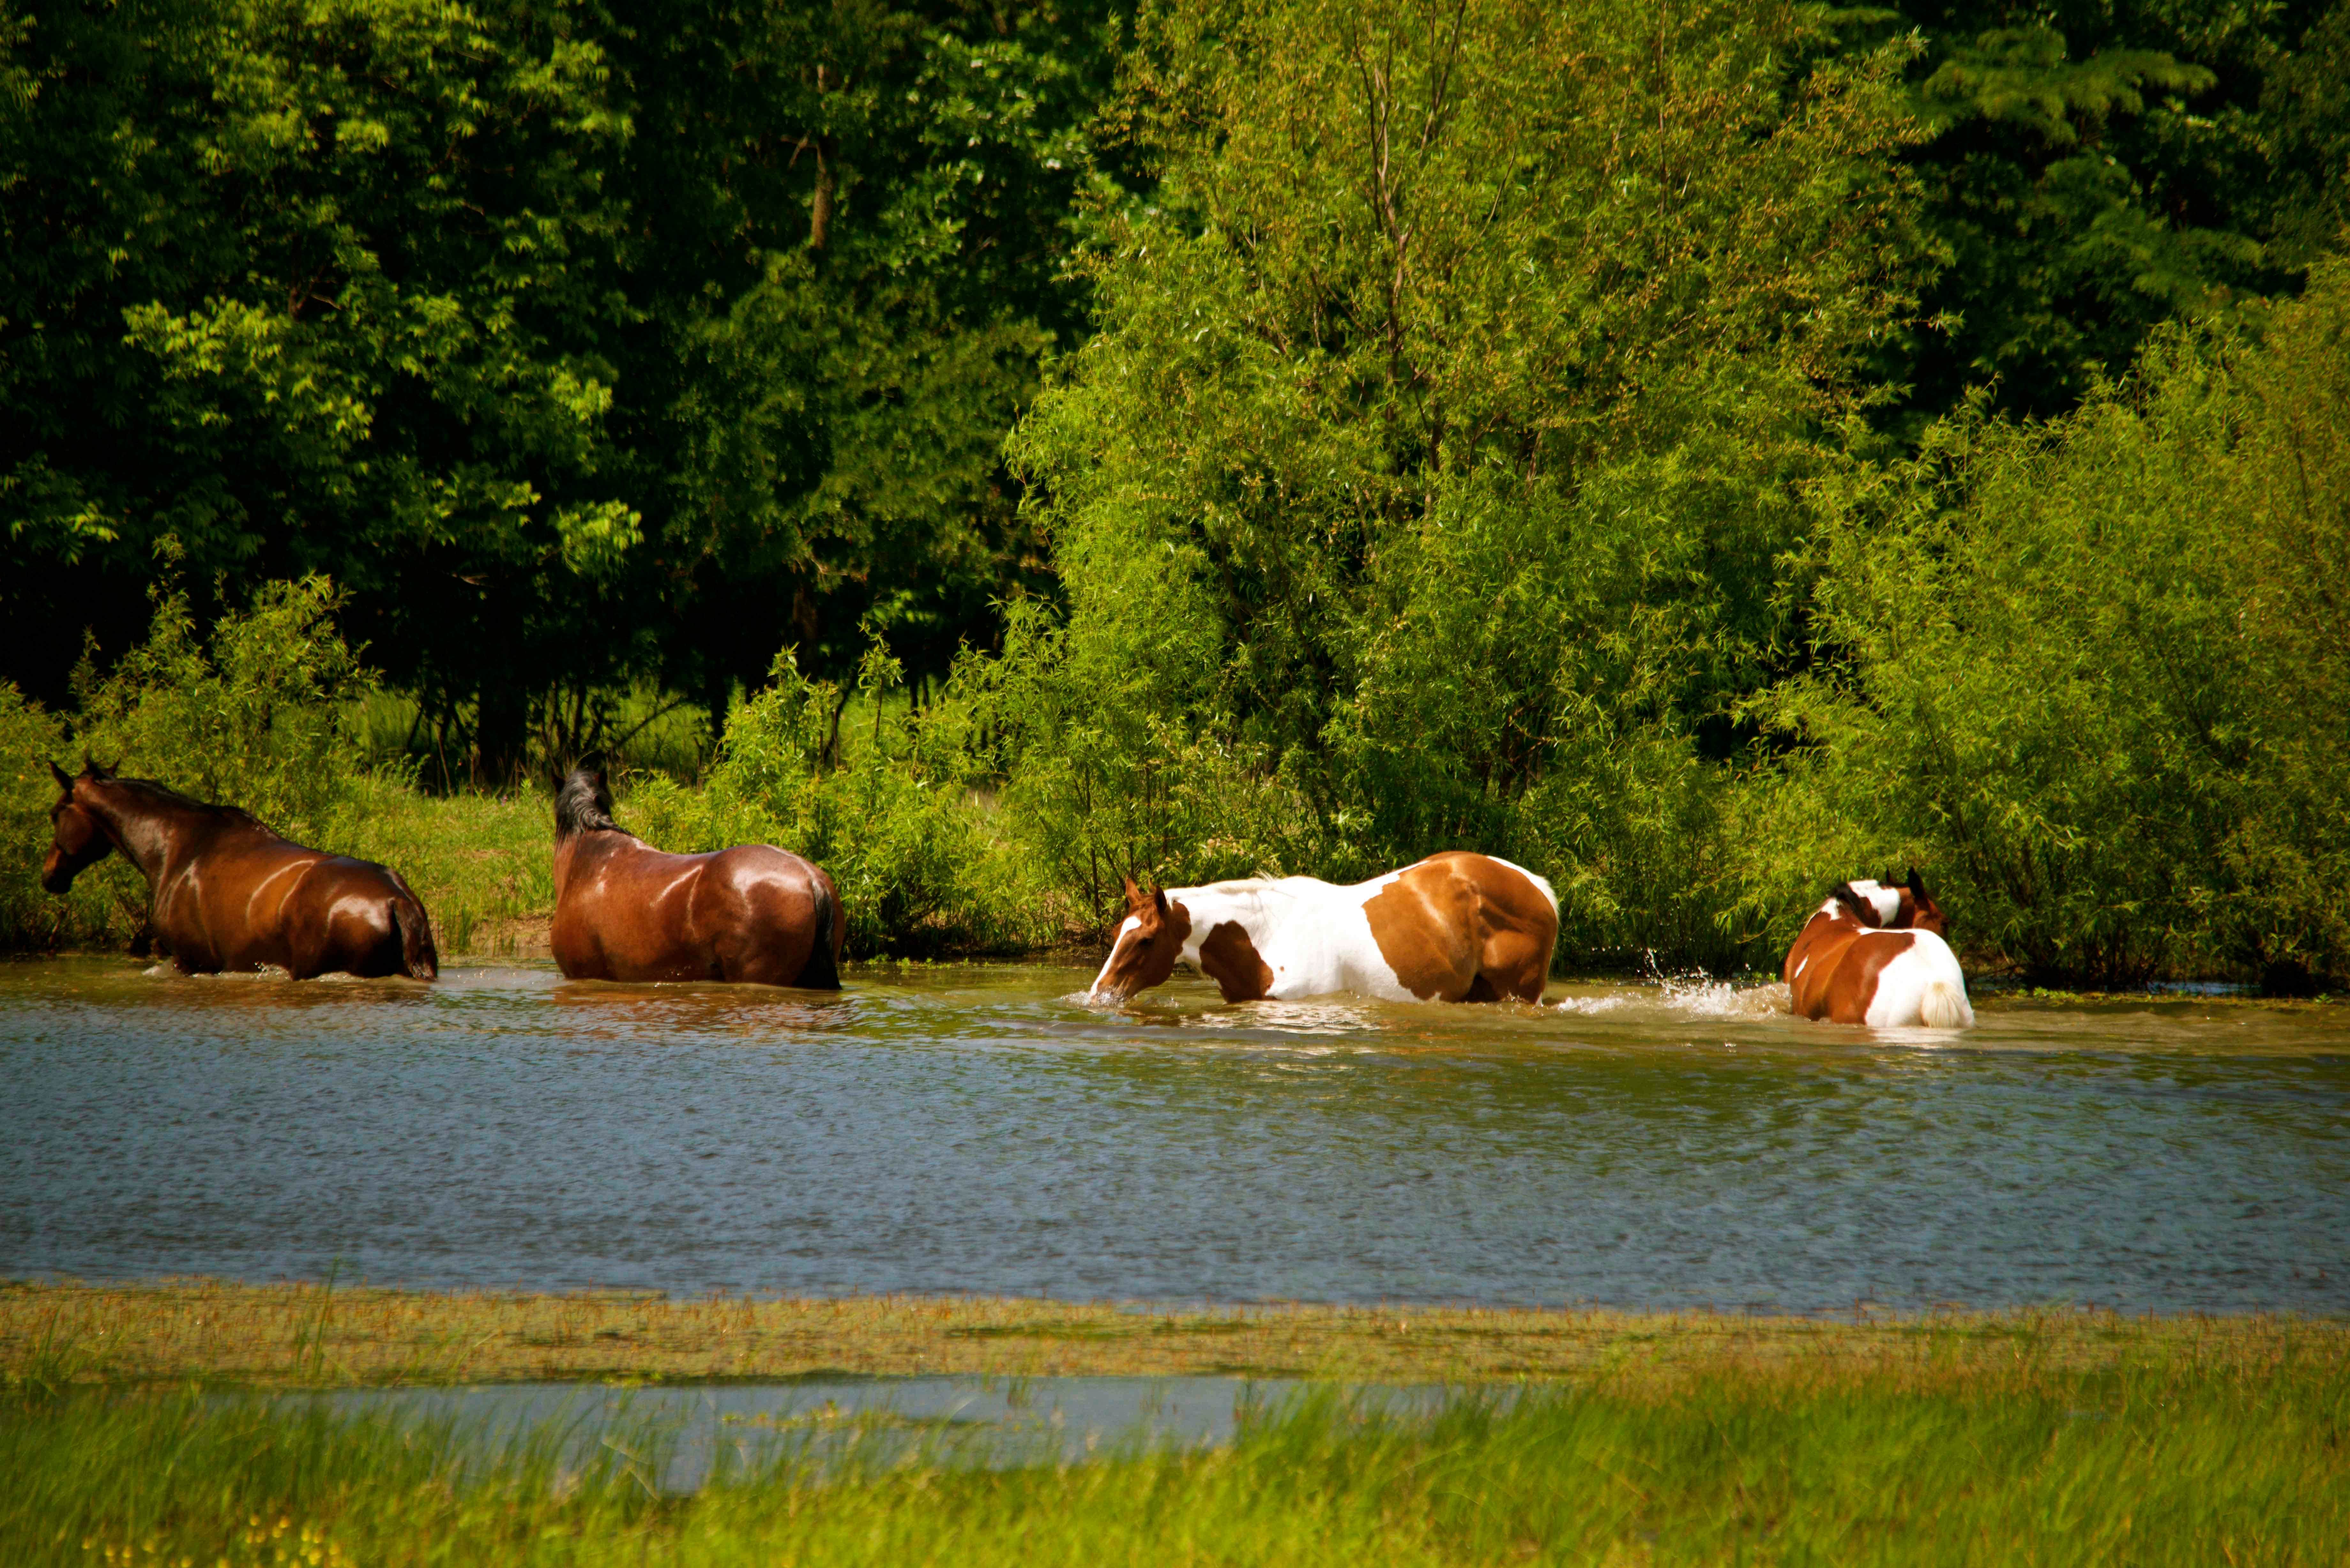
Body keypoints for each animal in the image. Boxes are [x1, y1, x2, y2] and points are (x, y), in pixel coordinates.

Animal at [1086, 860, 1560, 1006]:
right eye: (1116, 931)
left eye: (1145, 940)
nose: (1100, 994)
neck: (1266, 936)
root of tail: (1539, 887)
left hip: (1518, 994)